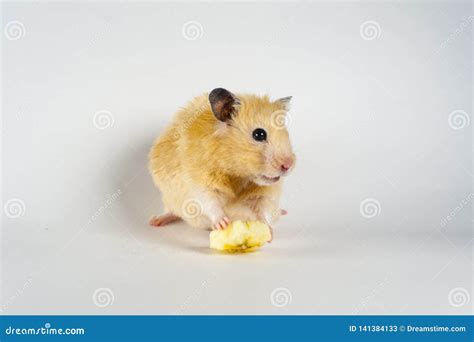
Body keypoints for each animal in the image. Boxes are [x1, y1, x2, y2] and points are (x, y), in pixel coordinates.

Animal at [150, 88, 294, 232]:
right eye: (259, 134)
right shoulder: (200, 182)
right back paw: (155, 221)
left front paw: (267, 229)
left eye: (286, 134)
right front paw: (223, 224)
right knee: (172, 211)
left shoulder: (263, 192)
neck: (237, 174)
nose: (288, 165)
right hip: (169, 198)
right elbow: (210, 203)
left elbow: (262, 207)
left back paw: (283, 211)